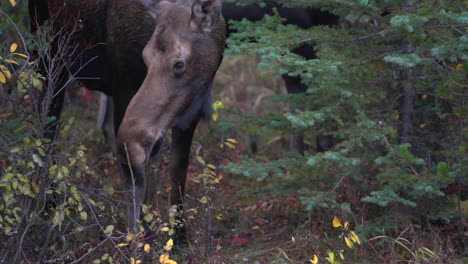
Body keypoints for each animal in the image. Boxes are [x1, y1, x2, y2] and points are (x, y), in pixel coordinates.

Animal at [29, 0, 227, 231]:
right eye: (145, 58)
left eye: (179, 64)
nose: (133, 136)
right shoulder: (124, 85)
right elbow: (134, 176)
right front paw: (139, 234)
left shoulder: (192, 107)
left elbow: (178, 170)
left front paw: (178, 235)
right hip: (48, 53)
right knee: (47, 128)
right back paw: (47, 207)